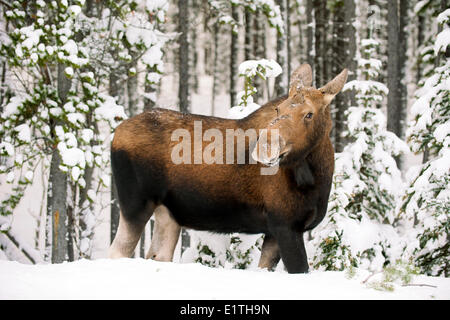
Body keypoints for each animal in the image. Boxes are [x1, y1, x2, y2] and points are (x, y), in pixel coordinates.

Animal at [109, 64, 348, 272]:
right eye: (278, 108)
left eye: (309, 113)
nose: (264, 147)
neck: (316, 178)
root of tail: (116, 133)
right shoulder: (285, 225)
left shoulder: (275, 232)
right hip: (136, 204)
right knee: (116, 252)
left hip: (168, 214)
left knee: (157, 255)